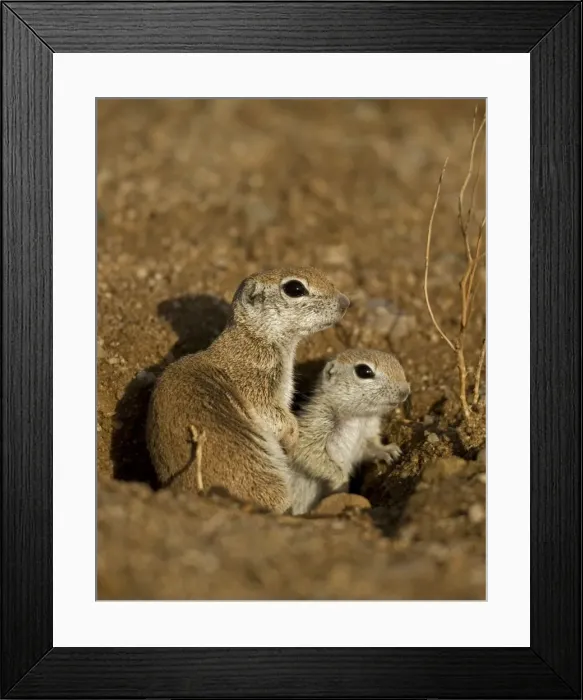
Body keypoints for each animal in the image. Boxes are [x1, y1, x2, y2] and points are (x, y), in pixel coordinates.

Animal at [147, 267, 350, 513]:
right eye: (295, 288)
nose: (346, 302)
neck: (254, 339)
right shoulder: (254, 385)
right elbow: (274, 416)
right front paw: (293, 438)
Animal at [288, 349, 410, 515]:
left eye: (396, 360)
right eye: (364, 371)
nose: (406, 391)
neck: (358, 418)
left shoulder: (366, 434)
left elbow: (370, 448)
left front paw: (387, 450)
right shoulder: (315, 426)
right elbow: (309, 454)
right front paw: (342, 482)